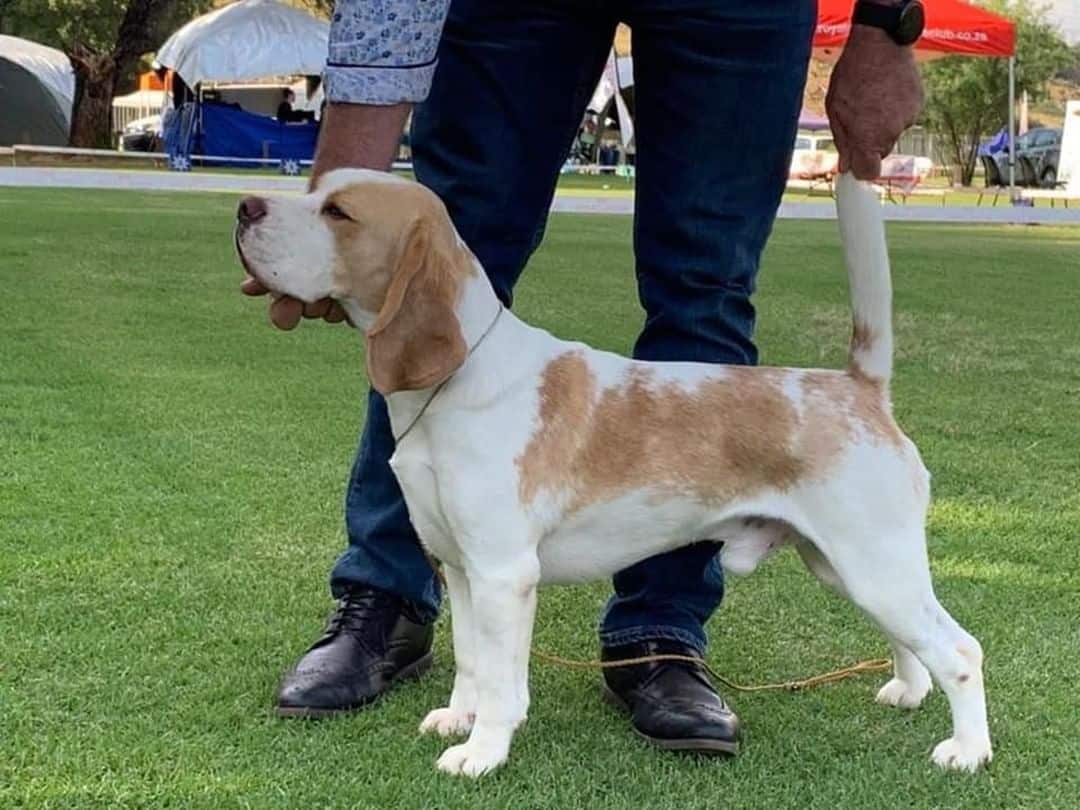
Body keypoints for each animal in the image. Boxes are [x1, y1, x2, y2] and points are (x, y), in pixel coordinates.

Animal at [234, 171, 989, 781]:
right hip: (846, 568)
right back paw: (907, 693)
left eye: (339, 212)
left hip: (874, 563)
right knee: (908, 638)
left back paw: (968, 752)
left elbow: (504, 684)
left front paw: (482, 754)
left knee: (960, 648)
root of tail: (859, 387)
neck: (457, 378)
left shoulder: (505, 575)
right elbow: (472, 662)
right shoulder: (460, 568)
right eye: (314, 188)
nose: (244, 206)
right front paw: (459, 719)